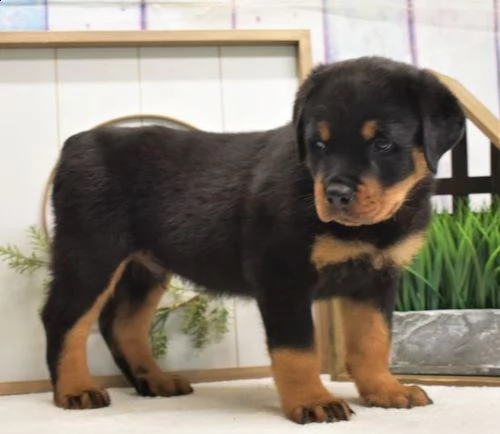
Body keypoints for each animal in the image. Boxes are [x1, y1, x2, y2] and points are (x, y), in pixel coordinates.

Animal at [40, 55, 464, 424]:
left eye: (382, 144)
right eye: (319, 144)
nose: (336, 194)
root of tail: (73, 144)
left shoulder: (376, 278)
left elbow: (373, 341)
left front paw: (385, 391)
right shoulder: (283, 276)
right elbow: (297, 350)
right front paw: (313, 401)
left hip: (144, 266)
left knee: (121, 323)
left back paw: (155, 381)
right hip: (90, 251)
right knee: (63, 317)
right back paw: (75, 390)